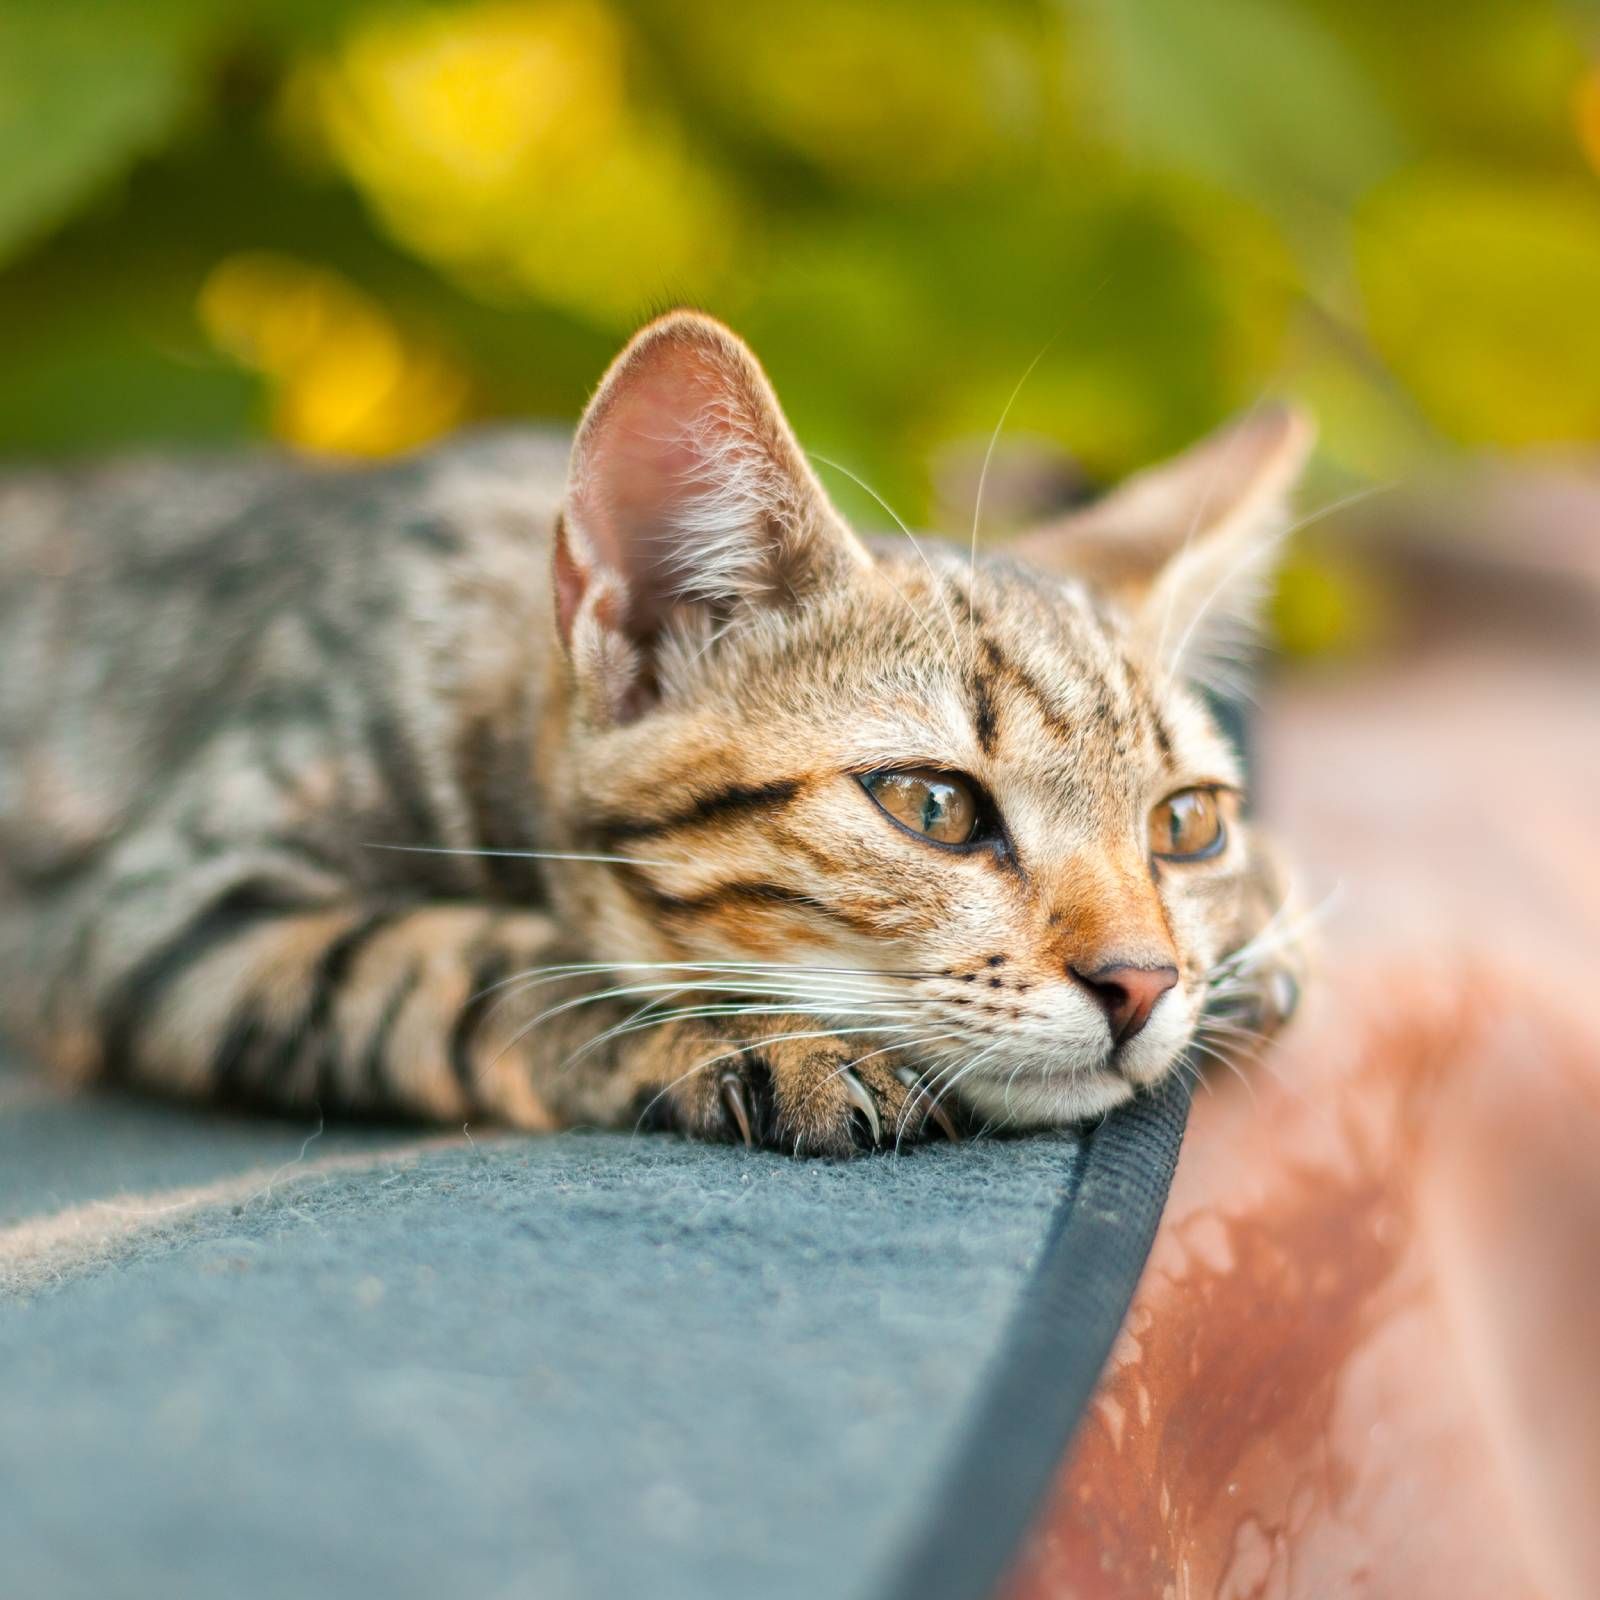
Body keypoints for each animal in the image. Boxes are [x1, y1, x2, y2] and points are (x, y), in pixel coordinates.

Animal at [0, 312, 1305, 1158]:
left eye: (1187, 825)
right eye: (931, 805)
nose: (1142, 981)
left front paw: (1261, 934)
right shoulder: (165, 909)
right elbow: (477, 960)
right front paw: (754, 1037)